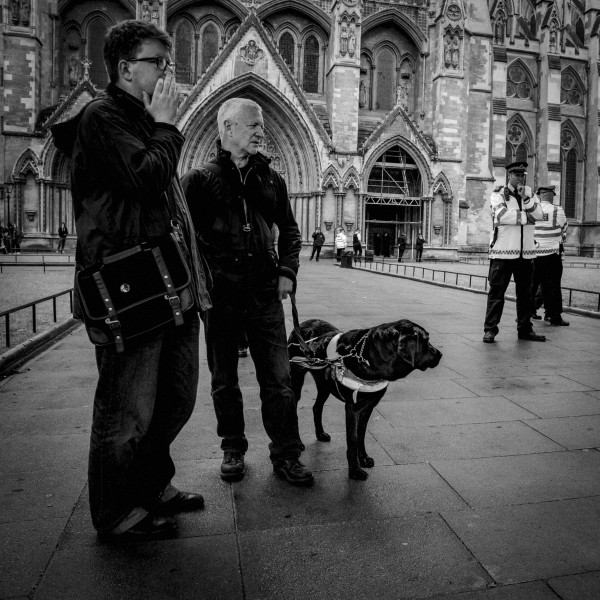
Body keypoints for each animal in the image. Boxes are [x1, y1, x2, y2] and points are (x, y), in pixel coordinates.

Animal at [288, 318, 442, 478]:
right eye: (426, 340)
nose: (440, 354)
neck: (371, 358)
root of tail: (302, 324)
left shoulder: (368, 406)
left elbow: (361, 434)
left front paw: (363, 458)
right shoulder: (352, 408)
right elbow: (353, 439)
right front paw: (355, 471)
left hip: (325, 384)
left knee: (317, 407)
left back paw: (320, 434)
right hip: (296, 380)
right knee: (293, 410)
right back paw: (298, 443)